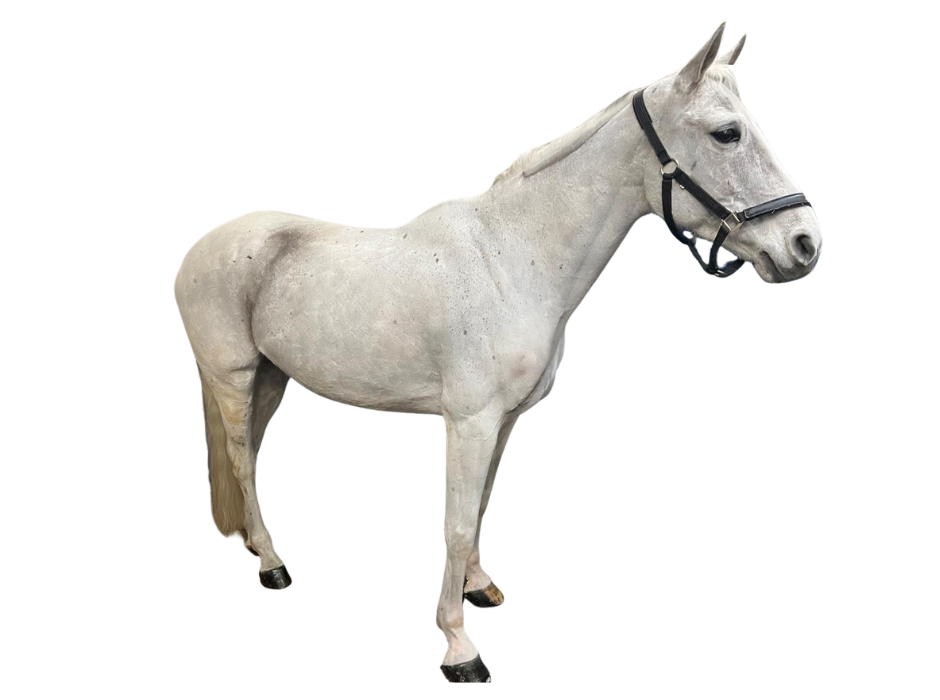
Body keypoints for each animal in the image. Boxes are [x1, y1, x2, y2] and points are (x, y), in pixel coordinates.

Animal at [172, 20, 823, 682]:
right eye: (727, 133)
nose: (805, 245)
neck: (513, 257)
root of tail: (207, 243)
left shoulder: (505, 420)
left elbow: (482, 504)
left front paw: (480, 587)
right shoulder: (470, 422)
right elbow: (457, 527)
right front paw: (460, 648)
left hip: (272, 380)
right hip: (233, 379)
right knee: (242, 465)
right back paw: (272, 564)